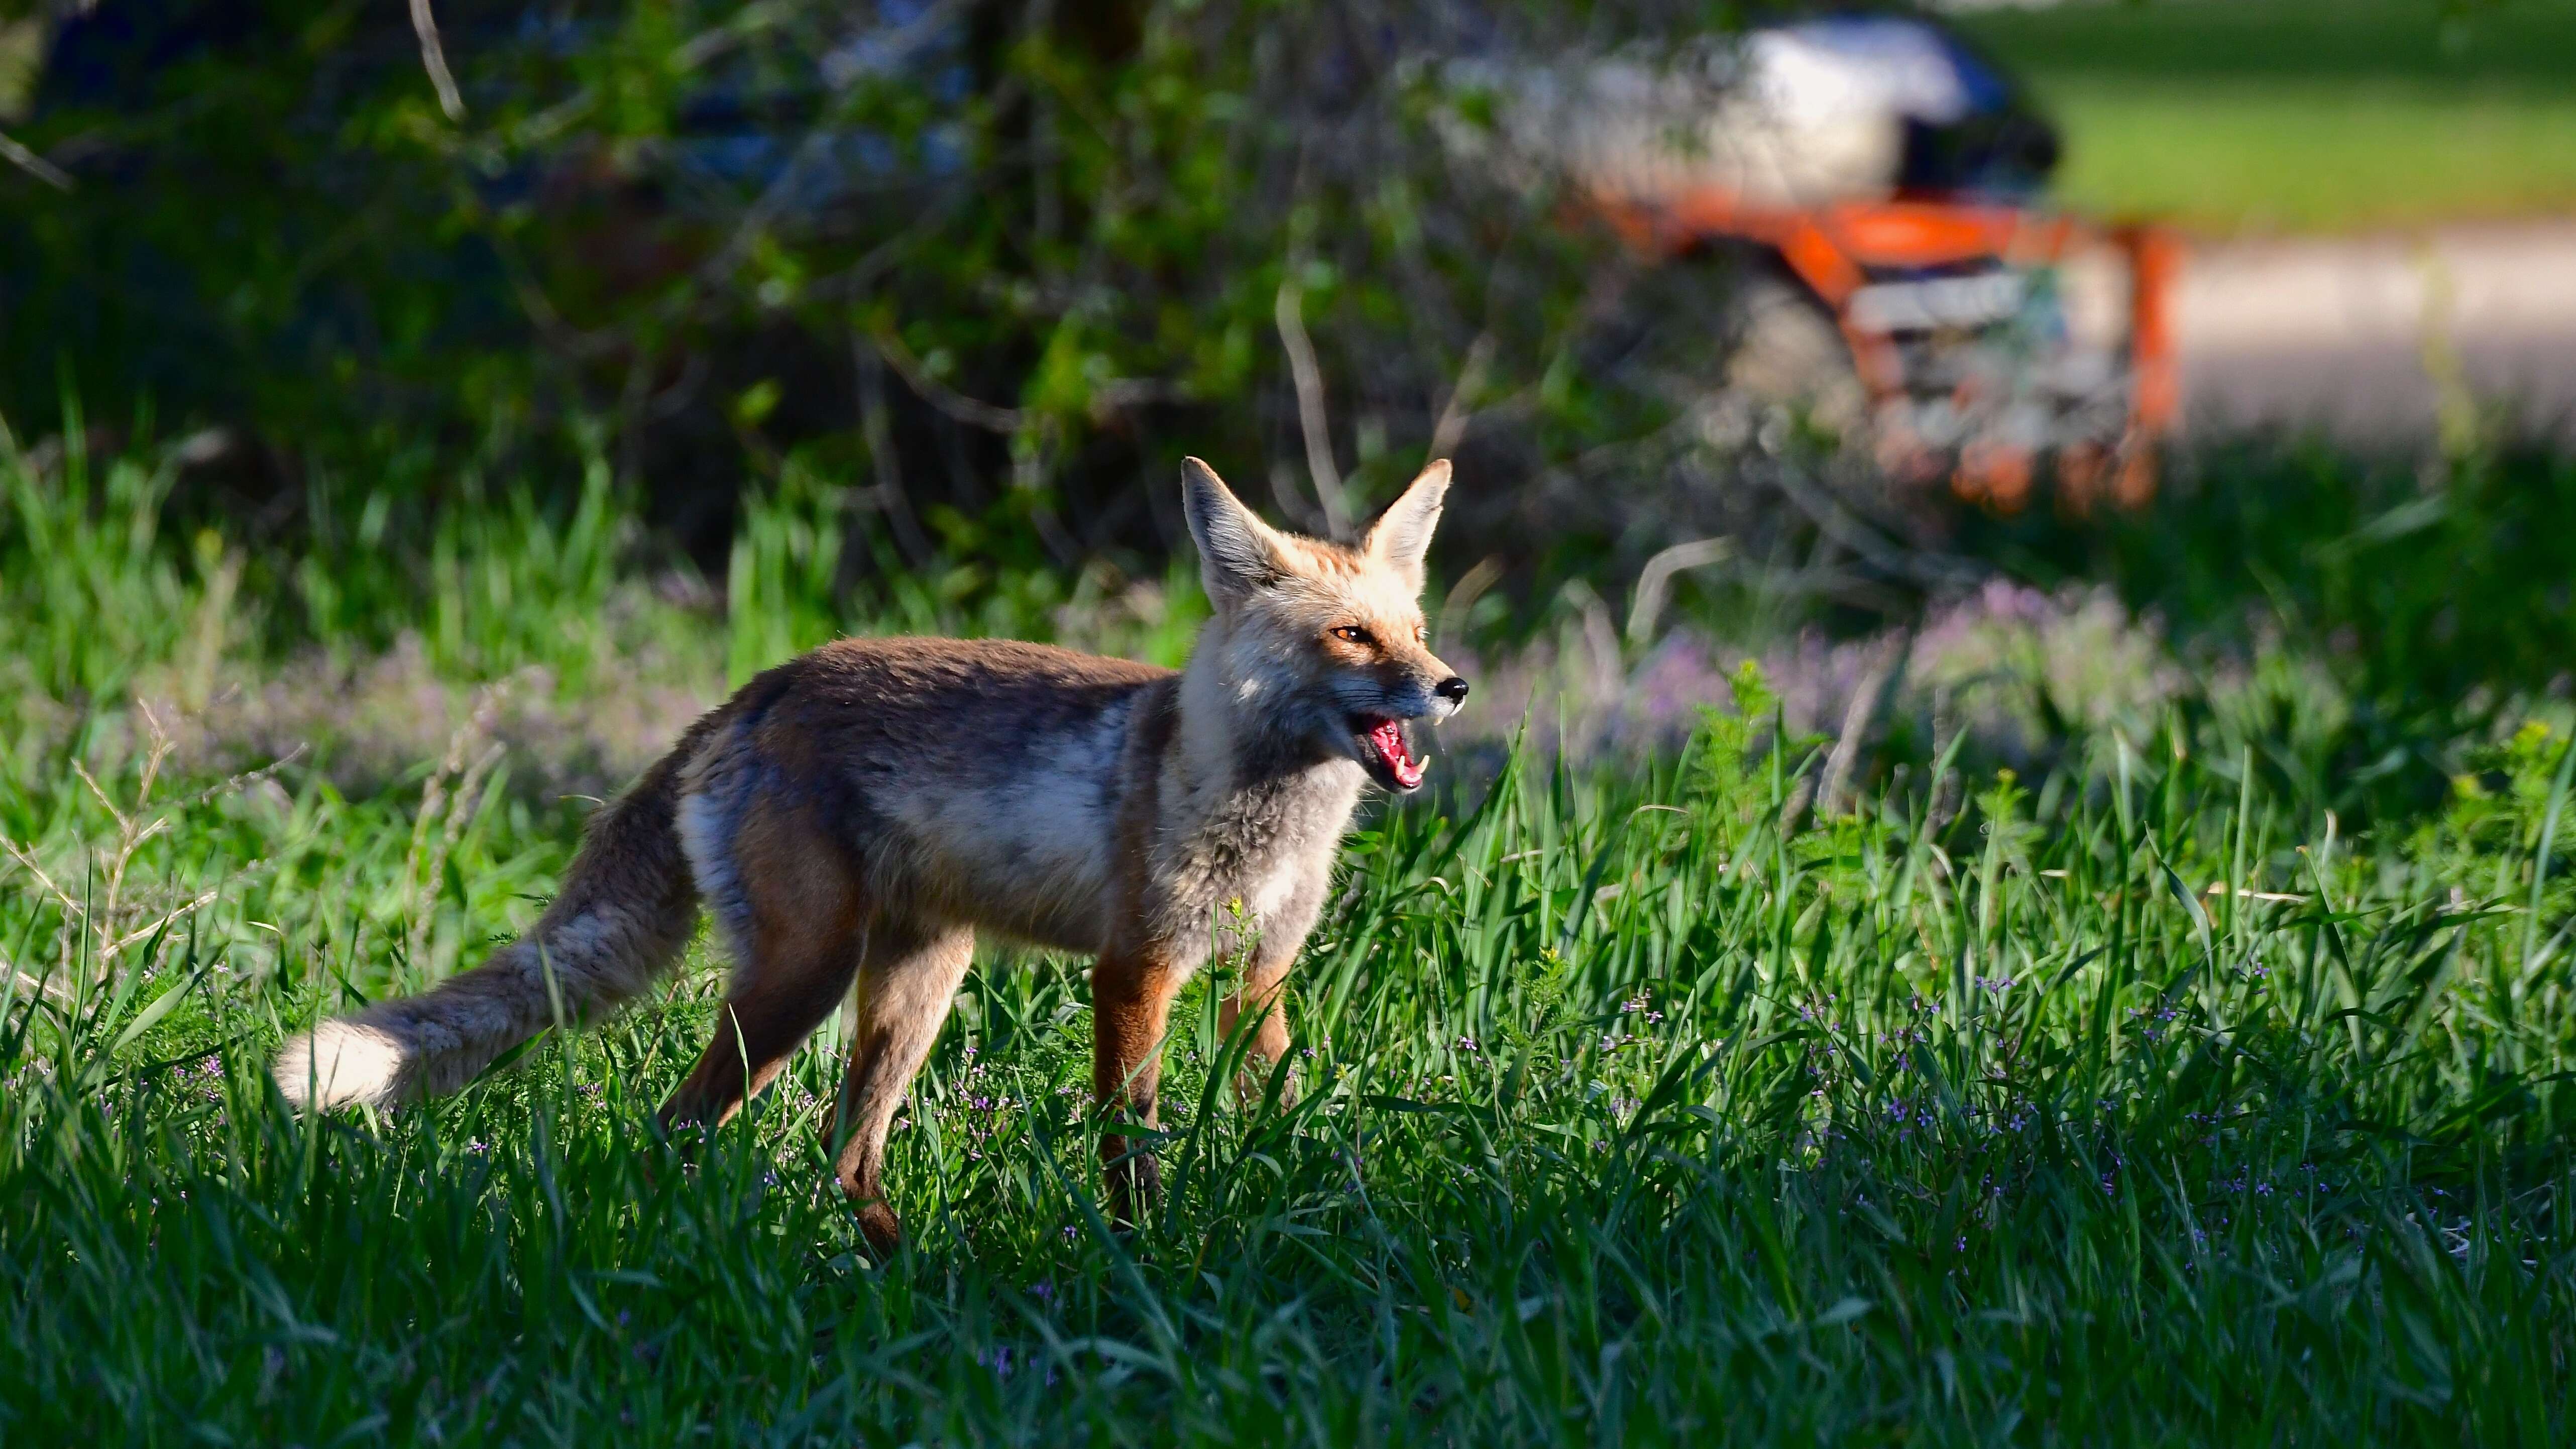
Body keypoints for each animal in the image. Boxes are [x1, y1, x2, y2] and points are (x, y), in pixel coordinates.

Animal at [277, 456, 1473, 1248]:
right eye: (1350, 636)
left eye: (1412, 630)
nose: (1453, 685)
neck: (1259, 809)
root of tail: (757, 689)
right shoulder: (1135, 968)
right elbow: (1128, 1145)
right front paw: (1143, 1262)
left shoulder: (1257, 977)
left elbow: (1286, 1112)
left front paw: (1344, 1212)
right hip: (801, 979)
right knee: (677, 1124)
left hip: (914, 985)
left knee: (842, 1151)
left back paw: (906, 1272)